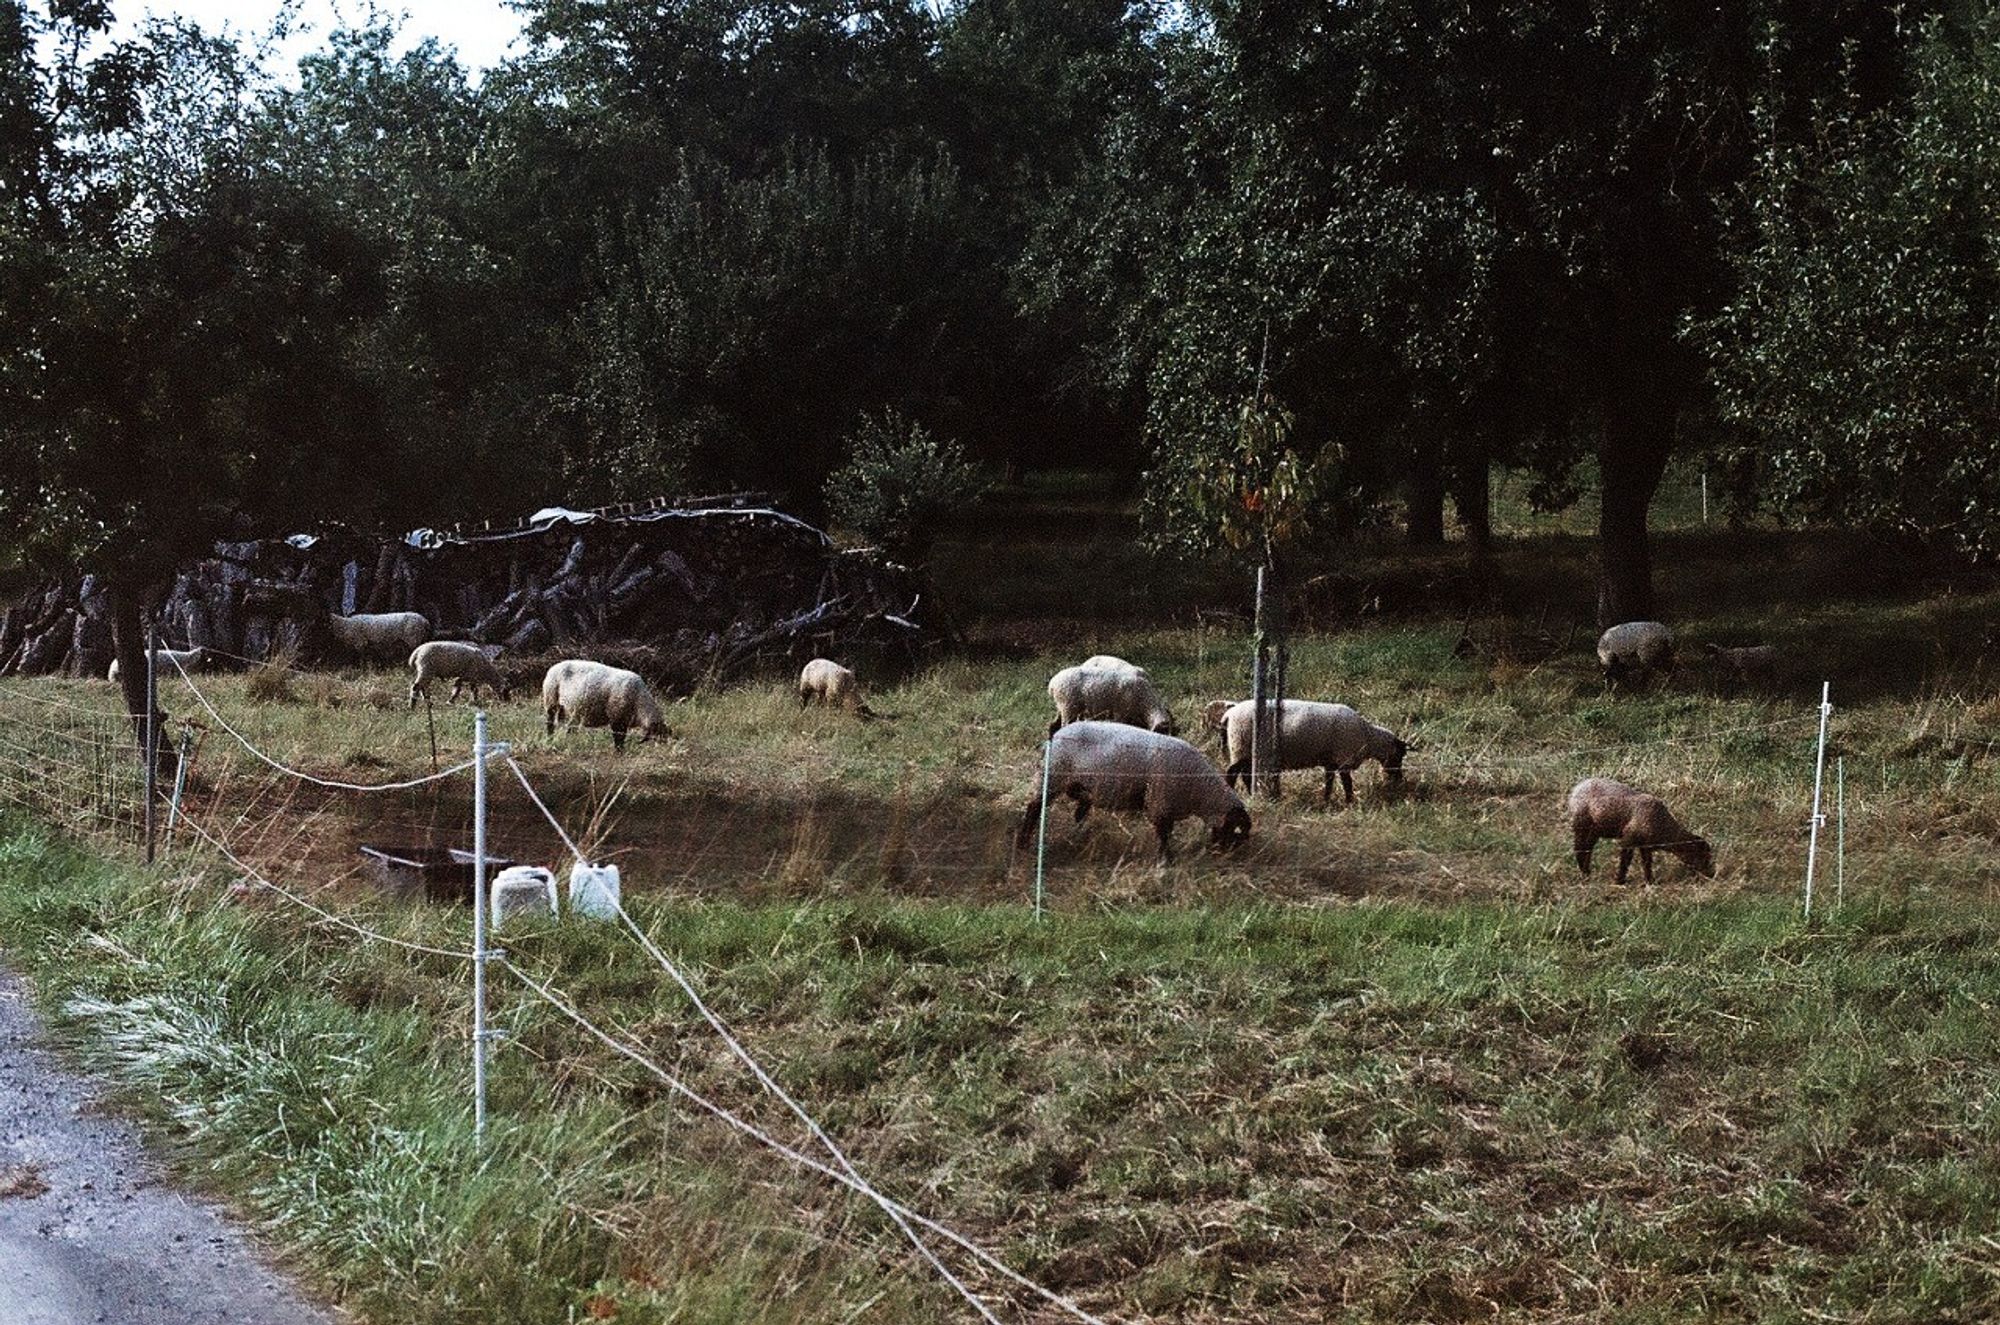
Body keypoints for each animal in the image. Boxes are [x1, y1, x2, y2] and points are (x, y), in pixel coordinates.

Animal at [540, 660, 672, 752]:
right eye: (657, 737)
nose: (663, 752)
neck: (639, 702)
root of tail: (553, 667)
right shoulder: (616, 718)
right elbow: (618, 738)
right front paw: (619, 752)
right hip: (550, 698)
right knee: (550, 723)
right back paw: (549, 739)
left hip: (568, 708)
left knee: (568, 726)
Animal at [1016, 720, 1248, 868]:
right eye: (1233, 832)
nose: (1224, 857)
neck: (1201, 793)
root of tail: (1055, 736)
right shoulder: (1159, 803)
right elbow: (1164, 834)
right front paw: (1166, 861)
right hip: (1052, 776)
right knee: (1034, 808)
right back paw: (1023, 843)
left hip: (1078, 787)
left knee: (1077, 812)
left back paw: (1079, 837)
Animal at [1216, 700, 1408, 804]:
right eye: (1400, 755)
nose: (1399, 779)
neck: (1368, 737)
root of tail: (1229, 715)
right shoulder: (1343, 759)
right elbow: (1347, 783)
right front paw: (1349, 801)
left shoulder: (1331, 761)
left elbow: (1329, 781)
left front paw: (1327, 799)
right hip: (1240, 745)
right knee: (1232, 772)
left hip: (1244, 750)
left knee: (1245, 774)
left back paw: (1250, 793)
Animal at [1568, 784, 1712, 888]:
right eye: (1702, 856)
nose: (1711, 875)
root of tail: (1577, 788)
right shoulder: (1629, 839)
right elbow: (1625, 861)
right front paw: (1620, 881)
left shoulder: (1645, 845)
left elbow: (1647, 863)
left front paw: (1649, 881)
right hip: (1582, 826)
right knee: (1580, 848)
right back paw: (1585, 873)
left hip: (1594, 831)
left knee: (1587, 849)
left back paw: (1586, 871)